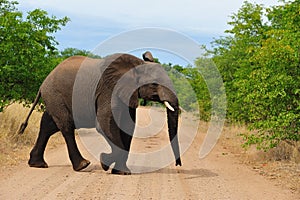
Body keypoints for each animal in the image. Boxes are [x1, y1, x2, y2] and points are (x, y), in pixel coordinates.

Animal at [19, 52, 183, 175]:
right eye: (154, 83)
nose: (178, 165)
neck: (136, 64)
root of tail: (43, 83)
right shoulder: (108, 90)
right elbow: (104, 124)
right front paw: (105, 163)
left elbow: (127, 128)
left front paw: (122, 172)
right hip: (55, 95)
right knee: (66, 127)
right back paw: (83, 165)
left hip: (55, 98)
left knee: (48, 125)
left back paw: (37, 164)